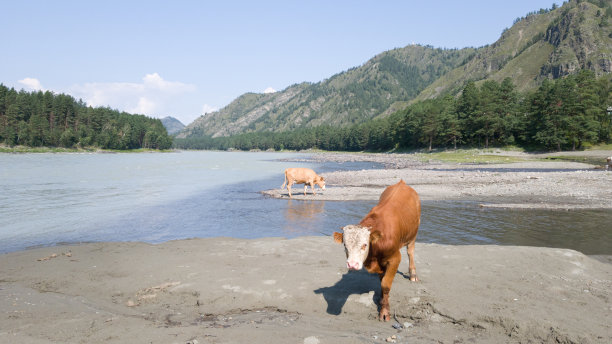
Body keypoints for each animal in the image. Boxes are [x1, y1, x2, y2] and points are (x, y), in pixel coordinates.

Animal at [334, 181, 420, 322]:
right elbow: (382, 280)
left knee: (410, 251)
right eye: (345, 245)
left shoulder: (395, 258)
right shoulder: (380, 264)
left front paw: (385, 311)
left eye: (364, 245)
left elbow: (386, 284)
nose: (352, 264)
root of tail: (402, 183)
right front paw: (382, 299)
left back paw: (413, 274)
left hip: (413, 234)